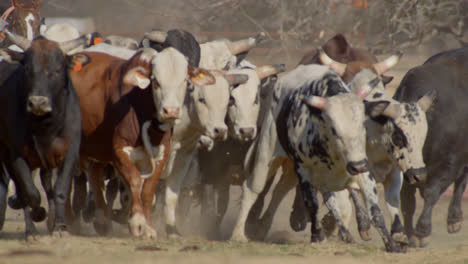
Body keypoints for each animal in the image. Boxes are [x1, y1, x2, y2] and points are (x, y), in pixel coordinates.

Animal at [0, 38, 82, 233]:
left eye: (58, 70)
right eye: (28, 68)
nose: (38, 102)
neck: (46, 128)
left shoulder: (69, 154)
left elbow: (60, 190)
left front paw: (60, 227)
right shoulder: (16, 156)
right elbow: (31, 193)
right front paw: (38, 214)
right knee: (22, 190)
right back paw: (30, 231)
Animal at [69, 48, 216, 238]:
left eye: (184, 80)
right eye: (156, 82)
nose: (171, 111)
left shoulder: (161, 154)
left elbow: (148, 190)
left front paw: (148, 228)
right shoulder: (120, 152)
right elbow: (135, 181)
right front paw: (138, 223)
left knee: (95, 176)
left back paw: (102, 221)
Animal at [229, 64, 402, 254]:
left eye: (363, 125)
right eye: (334, 128)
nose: (357, 166)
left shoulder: (363, 170)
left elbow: (375, 211)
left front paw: (392, 244)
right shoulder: (303, 171)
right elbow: (312, 203)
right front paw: (317, 236)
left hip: (294, 172)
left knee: (281, 190)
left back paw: (263, 227)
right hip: (267, 153)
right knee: (253, 189)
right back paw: (238, 234)